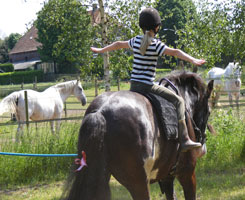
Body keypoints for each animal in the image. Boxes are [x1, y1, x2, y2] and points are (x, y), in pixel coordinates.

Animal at [62, 72, 213, 200]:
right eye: (209, 111)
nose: (203, 147)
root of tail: (100, 111)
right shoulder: (187, 174)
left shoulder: (166, 178)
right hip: (139, 183)